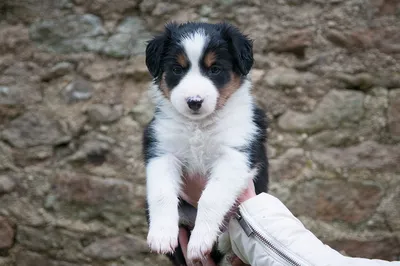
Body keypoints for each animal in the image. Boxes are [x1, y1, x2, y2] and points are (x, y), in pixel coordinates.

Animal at [142, 21, 268, 264]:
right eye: (177, 69)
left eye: (215, 69)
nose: (194, 101)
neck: (198, 126)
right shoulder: (162, 150)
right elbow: (162, 193)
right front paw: (161, 236)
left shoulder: (237, 153)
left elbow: (211, 197)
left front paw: (199, 242)